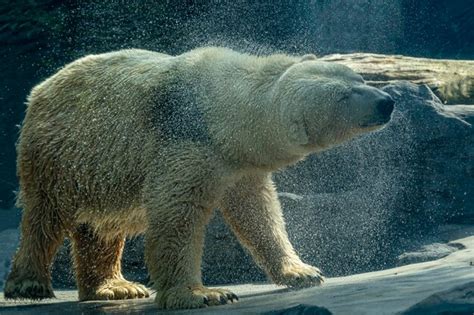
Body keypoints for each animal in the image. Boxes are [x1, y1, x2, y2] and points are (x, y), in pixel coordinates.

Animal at [4, 48, 392, 310]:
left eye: (358, 79)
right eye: (345, 96)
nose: (386, 101)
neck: (218, 106)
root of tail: (40, 89)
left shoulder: (238, 162)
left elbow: (259, 213)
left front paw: (302, 271)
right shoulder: (187, 144)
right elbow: (178, 215)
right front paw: (203, 293)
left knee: (102, 227)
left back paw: (115, 287)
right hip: (60, 154)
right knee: (46, 216)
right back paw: (29, 284)